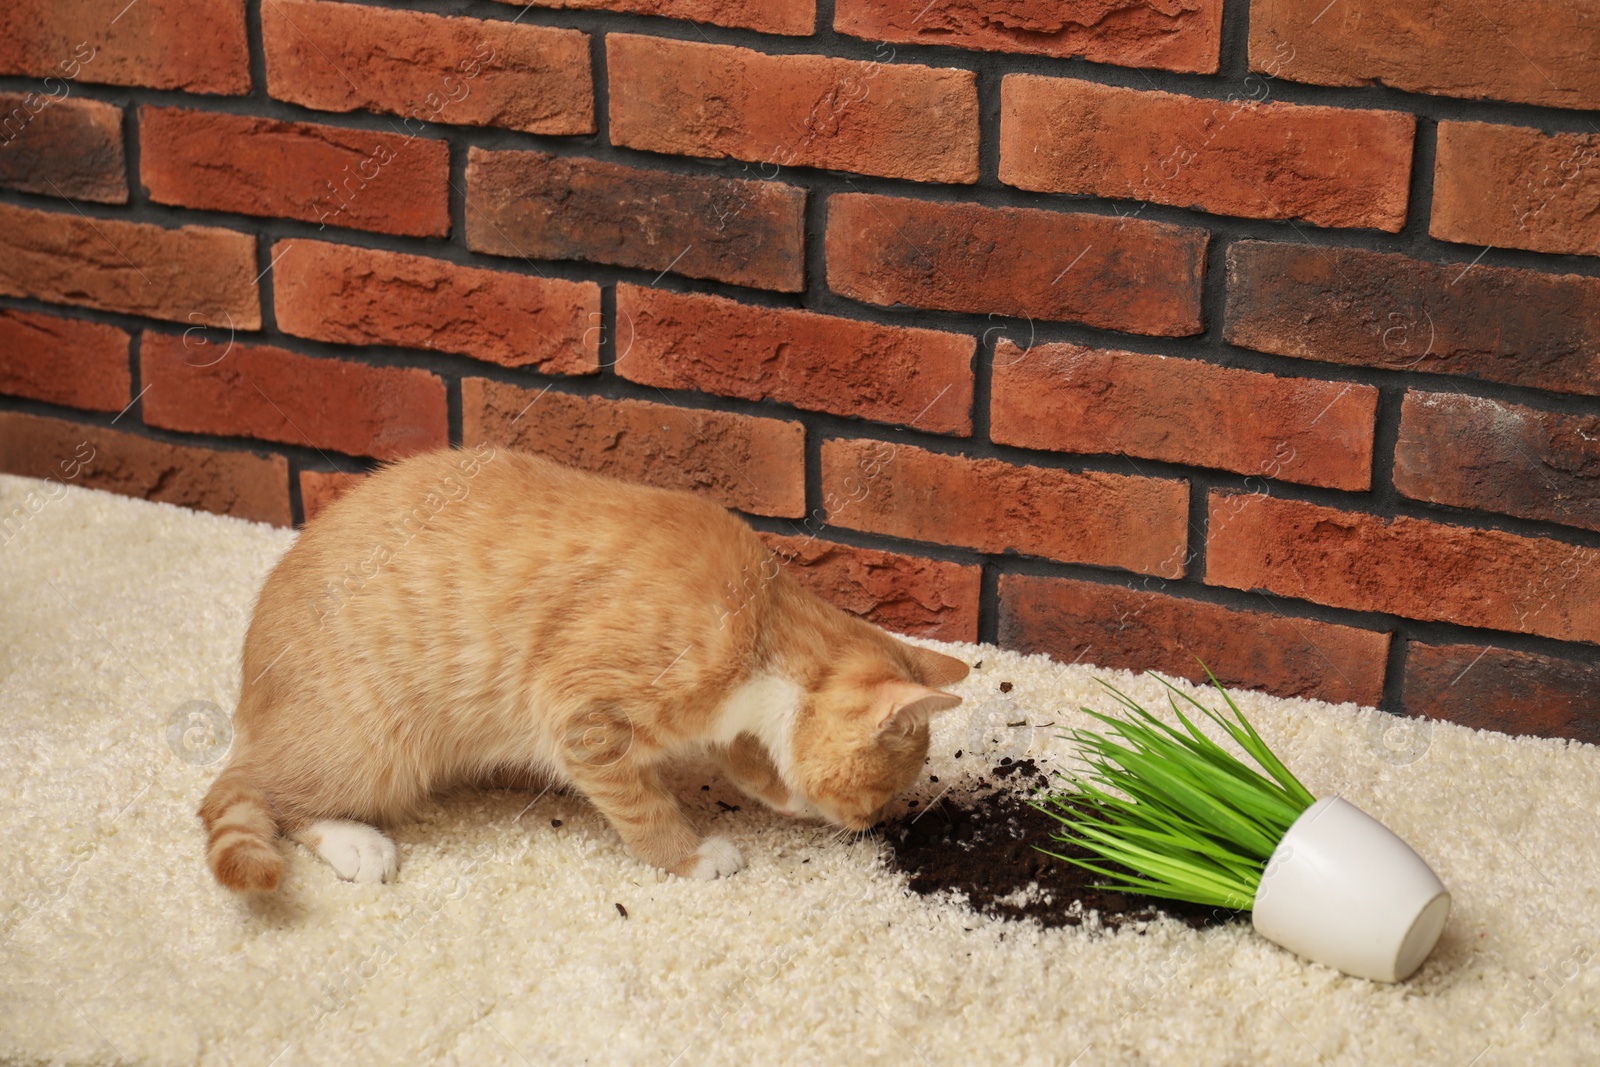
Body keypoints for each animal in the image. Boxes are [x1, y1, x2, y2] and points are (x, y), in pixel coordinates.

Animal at [200, 444, 972, 895]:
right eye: (885, 789)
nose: (870, 824)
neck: (761, 623)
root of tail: (248, 704)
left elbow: (748, 758)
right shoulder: (578, 709)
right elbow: (644, 805)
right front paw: (689, 855)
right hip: (372, 746)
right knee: (260, 794)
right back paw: (353, 840)